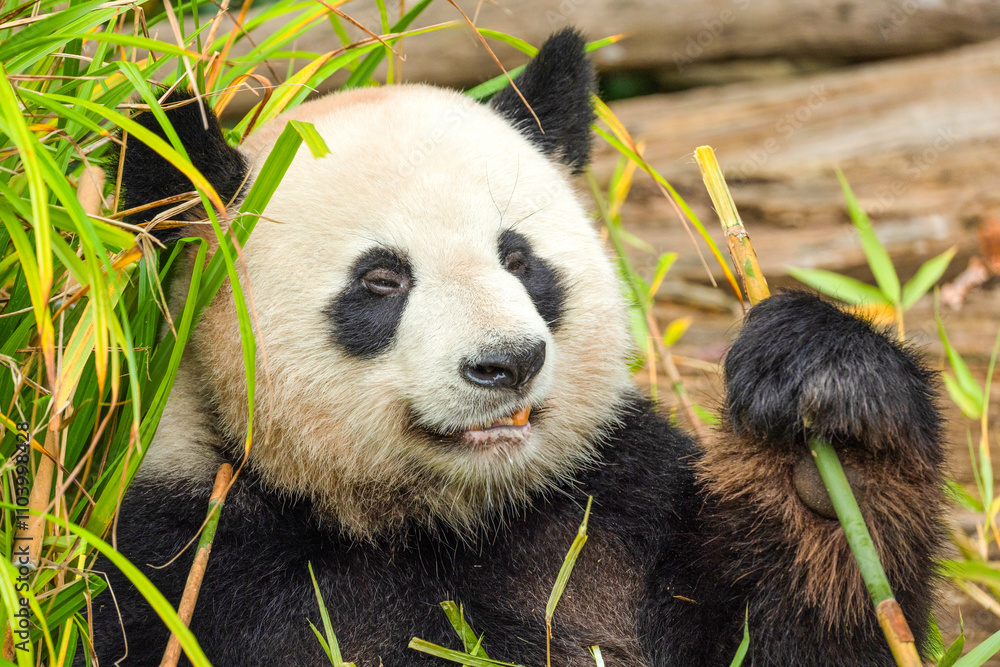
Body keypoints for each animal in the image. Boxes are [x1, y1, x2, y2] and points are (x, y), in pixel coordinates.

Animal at [89, 29, 946, 667]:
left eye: (519, 258)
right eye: (381, 279)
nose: (507, 363)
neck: (446, 520)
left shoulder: (619, 501)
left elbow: (785, 636)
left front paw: (827, 431)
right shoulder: (188, 561)